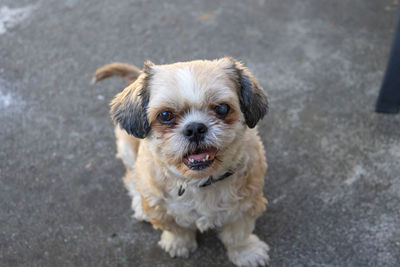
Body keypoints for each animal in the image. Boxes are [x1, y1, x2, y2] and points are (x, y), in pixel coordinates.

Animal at [93, 57, 268, 266]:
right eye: (165, 115)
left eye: (222, 108)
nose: (195, 128)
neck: (199, 182)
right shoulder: (161, 211)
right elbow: (177, 230)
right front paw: (178, 244)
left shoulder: (245, 206)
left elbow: (238, 235)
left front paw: (246, 252)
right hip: (127, 149)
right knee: (131, 178)